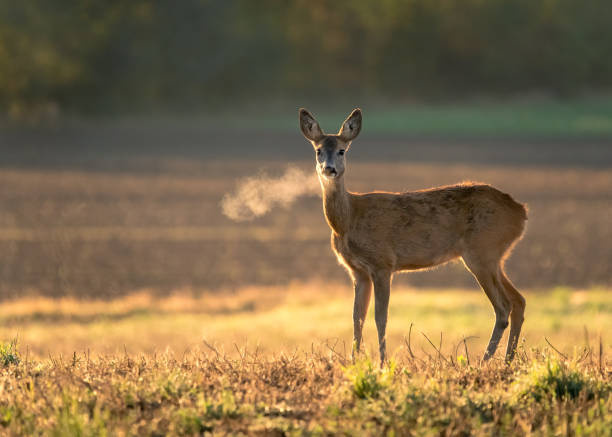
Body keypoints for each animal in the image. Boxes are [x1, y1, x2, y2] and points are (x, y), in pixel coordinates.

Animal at [298, 107, 528, 362]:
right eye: (318, 151)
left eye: (341, 150)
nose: (329, 168)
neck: (348, 220)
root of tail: (521, 212)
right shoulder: (357, 271)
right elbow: (357, 318)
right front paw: (353, 362)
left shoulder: (383, 263)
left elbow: (381, 317)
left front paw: (382, 363)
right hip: (494, 257)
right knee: (519, 300)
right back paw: (507, 360)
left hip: (482, 252)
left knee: (503, 307)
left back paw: (485, 361)